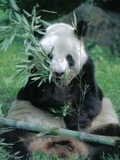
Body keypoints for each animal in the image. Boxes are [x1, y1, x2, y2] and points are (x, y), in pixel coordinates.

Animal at [0, 21, 120, 160]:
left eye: (69, 58)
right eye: (49, 56)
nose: (58, 73)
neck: (62, 83)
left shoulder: (86, 70)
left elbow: (91, 98)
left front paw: (75, 120)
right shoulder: (34, 71)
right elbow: (41, 94)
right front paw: (63, 100)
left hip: (99, 130)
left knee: (112, 138)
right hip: (22, 124)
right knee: (10, 137)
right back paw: (21, 154)